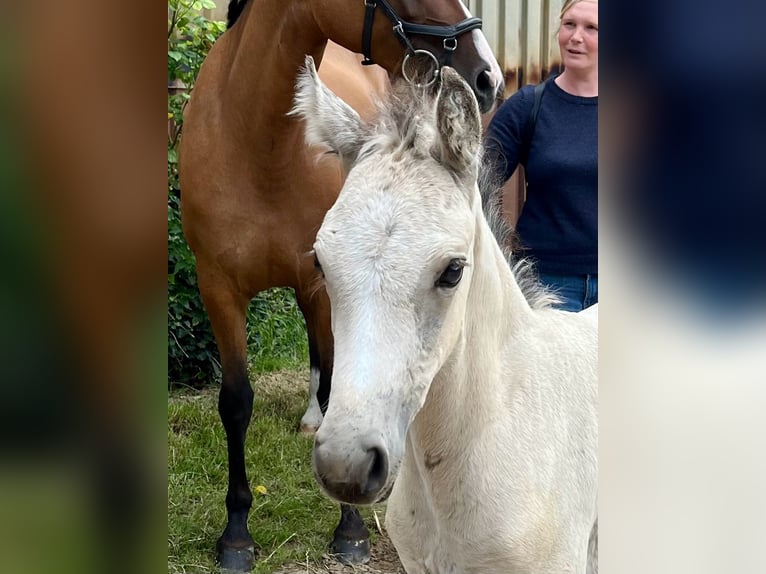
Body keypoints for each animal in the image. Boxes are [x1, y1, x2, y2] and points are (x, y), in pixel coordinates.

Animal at [179, 0, 504, 572]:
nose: (486, 76)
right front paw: (236, 533)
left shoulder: (319, 287)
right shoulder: (219, 288)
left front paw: (350, 529)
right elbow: (235, 402)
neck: (256, 144)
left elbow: (337, 387)